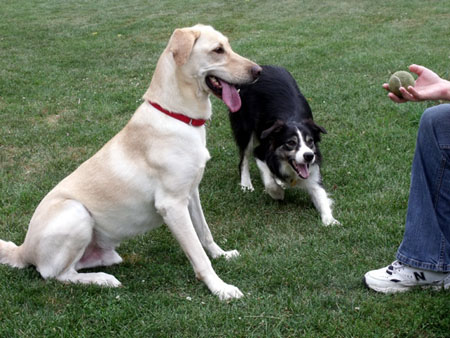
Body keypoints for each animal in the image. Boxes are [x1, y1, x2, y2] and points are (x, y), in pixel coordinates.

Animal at [0, 25, 262, 302]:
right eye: (218, 50)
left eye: (228, 45)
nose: (259, 71)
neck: (176, 115)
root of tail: (23, 250)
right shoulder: (172, 205)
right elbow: (199, 256)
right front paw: (220, 288)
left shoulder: (191, 193)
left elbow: (205, 232)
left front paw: (222, 254)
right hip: (75, 211)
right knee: (56, 274)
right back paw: (103, 280)